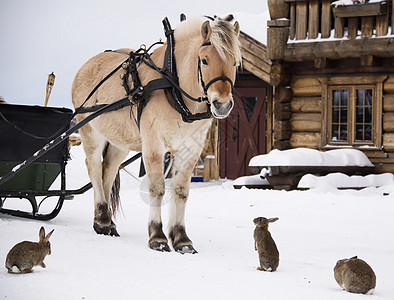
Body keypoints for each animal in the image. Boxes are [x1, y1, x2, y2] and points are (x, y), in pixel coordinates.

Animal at [72, 16, 242, 253]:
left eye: (235, 62)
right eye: (204, 60)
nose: (222, 105)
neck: (174, 88)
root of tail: (86, 66)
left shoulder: (190, 149)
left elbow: (181, 191)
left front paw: (181, 239)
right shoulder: (153, 146)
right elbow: (157, 189)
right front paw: (158, 237)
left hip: (119, 141)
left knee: (109, 170)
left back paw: (106, 220)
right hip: (90, 131)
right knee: (94, 168)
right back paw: (103, 221)